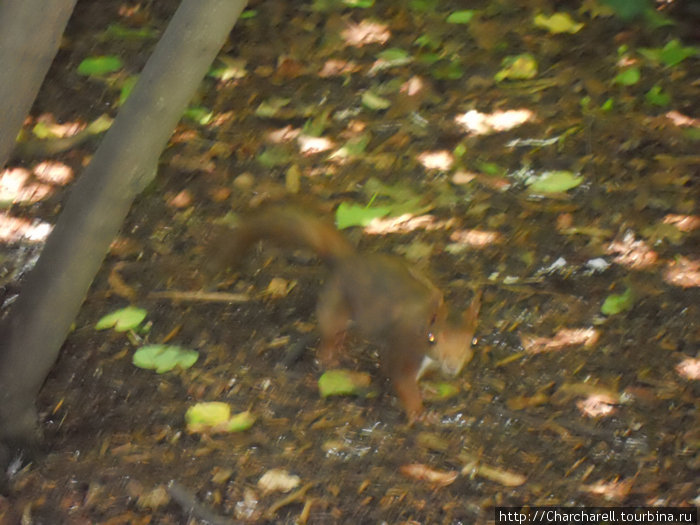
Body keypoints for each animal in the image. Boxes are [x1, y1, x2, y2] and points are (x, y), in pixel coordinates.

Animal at [209, 208, 482, 418]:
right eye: (432, 338)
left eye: (474, 341)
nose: (452, 367)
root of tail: (347, 263)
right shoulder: (404, 349)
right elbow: (401, 381)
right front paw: (419, 412)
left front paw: (429, 389)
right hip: (336, 309)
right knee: (328, 338)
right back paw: (330, 358)